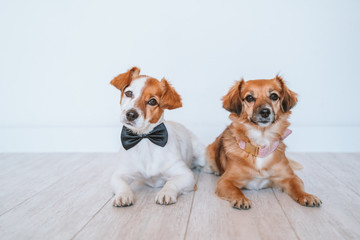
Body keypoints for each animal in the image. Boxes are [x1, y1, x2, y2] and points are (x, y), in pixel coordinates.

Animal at [109, 67, 205, 206]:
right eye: (129, 93)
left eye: (152, 101)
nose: (131, 114)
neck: (145, 138)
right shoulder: (119, 174)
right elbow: (122, 184)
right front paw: (123, 195)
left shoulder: (186, 175)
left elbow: (171, 182)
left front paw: (166, 192)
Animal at [207, 76, 322, 209]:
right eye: (249, 98)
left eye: (274, 96)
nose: (265, 112)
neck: (260, 145)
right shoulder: (225, 181)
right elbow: (235, 190)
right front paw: (241, 198)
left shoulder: (290, 177)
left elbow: (297, 187)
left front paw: (307, 195)